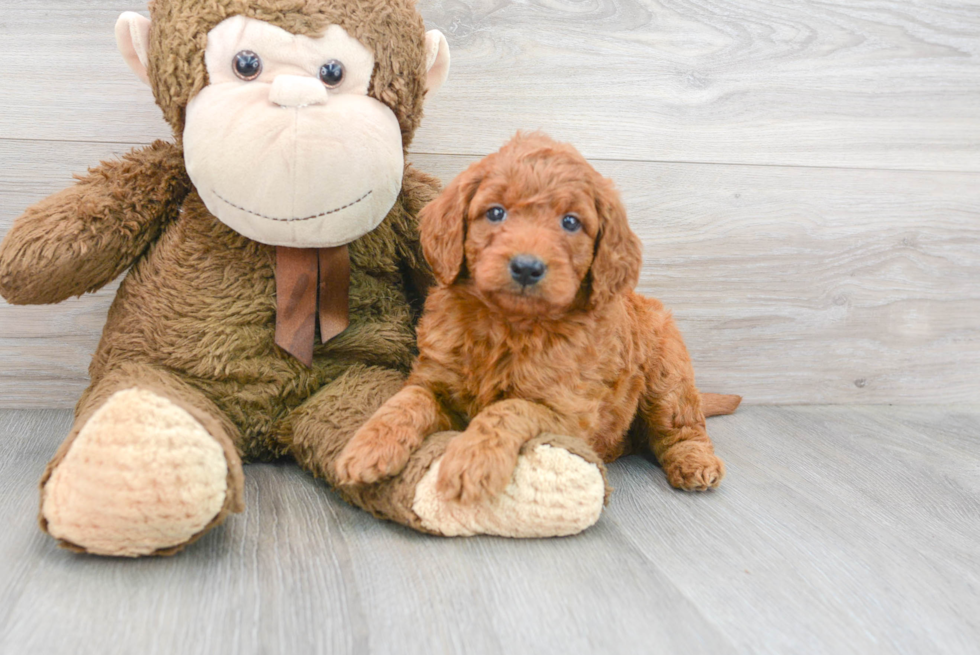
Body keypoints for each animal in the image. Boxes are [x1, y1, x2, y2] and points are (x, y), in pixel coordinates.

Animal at [334, 132, 740, 502]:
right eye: (495, 212)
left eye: (571, 222)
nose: (527, 267)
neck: (507, 324)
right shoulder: (434, 379)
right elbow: (407, 401)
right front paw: (367, 446)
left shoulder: (567, 411)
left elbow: (508, 409)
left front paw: (471, 463)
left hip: (667, 371)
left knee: (682, 426)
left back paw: (695, 463)